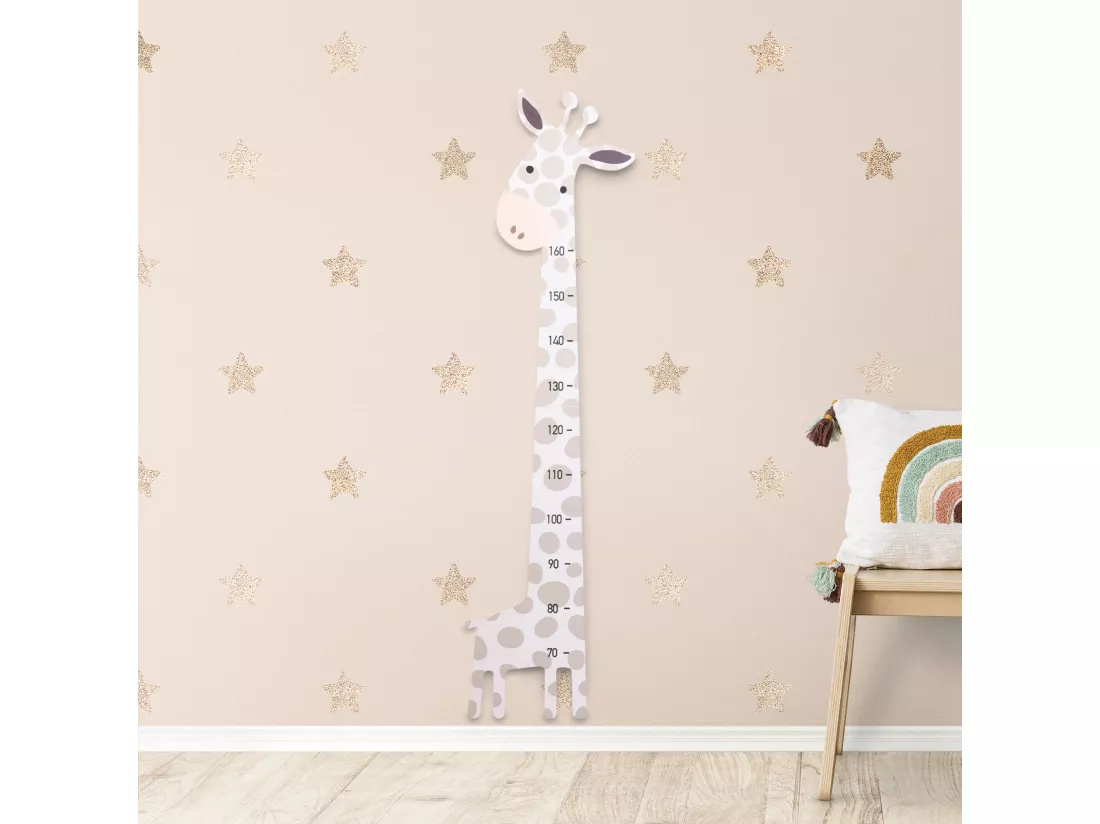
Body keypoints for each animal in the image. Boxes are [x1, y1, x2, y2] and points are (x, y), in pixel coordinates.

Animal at [466, 90, 634, 721]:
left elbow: (569, 686)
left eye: (566, 187)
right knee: (484, 680)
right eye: (530, 165)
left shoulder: (573, 658)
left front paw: (569, 714)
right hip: (487, 659)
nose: (516, 226)